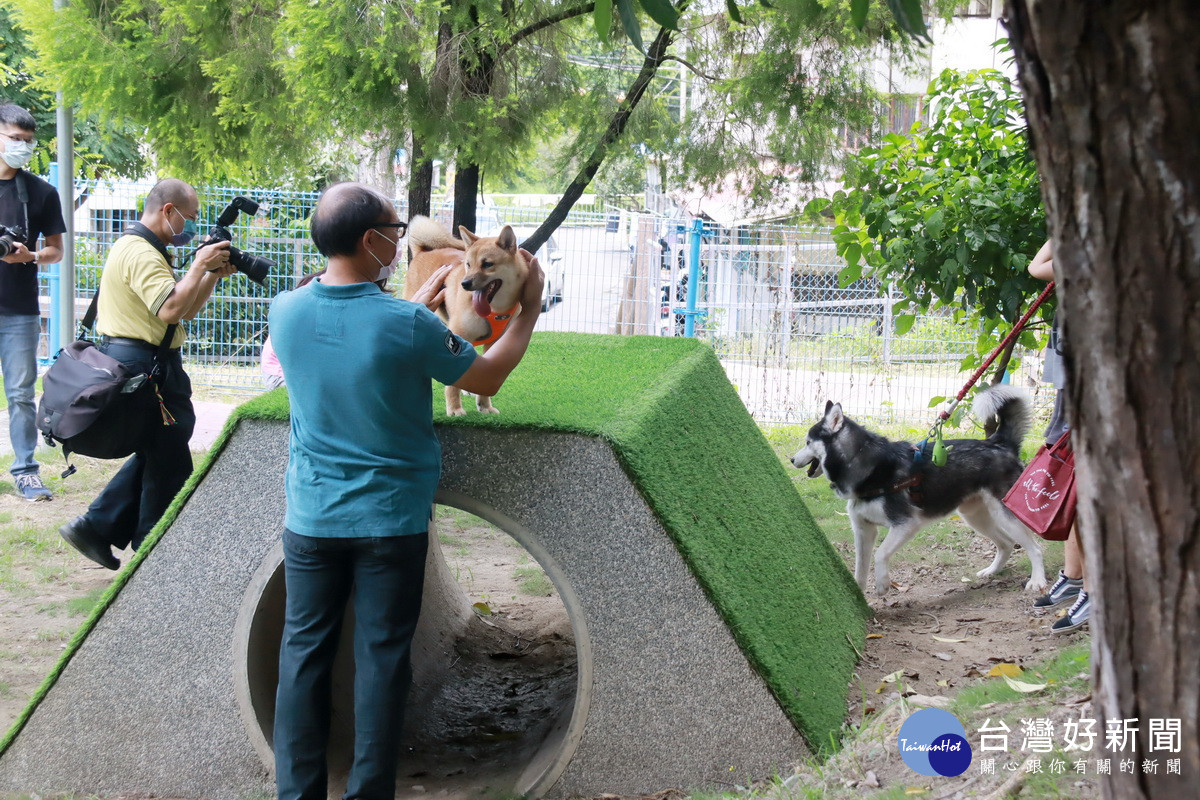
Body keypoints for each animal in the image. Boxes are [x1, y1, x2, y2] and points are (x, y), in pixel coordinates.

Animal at [405, 215, 528, 417]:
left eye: (487, 264)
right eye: (468, 265)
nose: (465, 283)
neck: (496, 309)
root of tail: (423, 251)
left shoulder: (494, 344)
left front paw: (485, 406)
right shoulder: (456, 337)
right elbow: (452, 385)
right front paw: (454, 408)